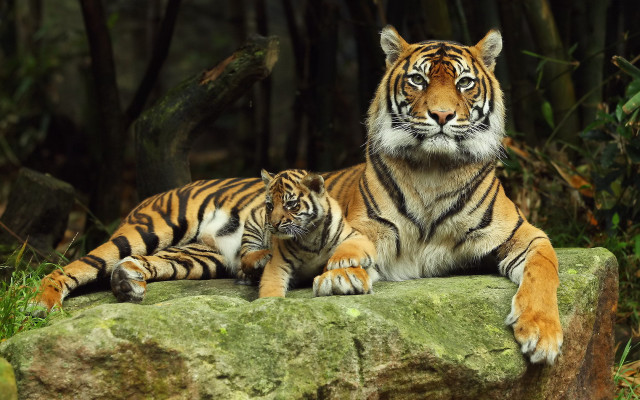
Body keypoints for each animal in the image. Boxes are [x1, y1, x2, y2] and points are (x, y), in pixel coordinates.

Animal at [240, 169, 376, 298]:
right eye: (270, 205)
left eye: (290, 204)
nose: (274, 223)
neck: (311, 235)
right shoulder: (278, 264)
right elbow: (271, 288)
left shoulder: (357, 236)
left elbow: (351, 246)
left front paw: (340, 261)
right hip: (253, 224)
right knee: (244, 258)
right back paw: (264, 255)